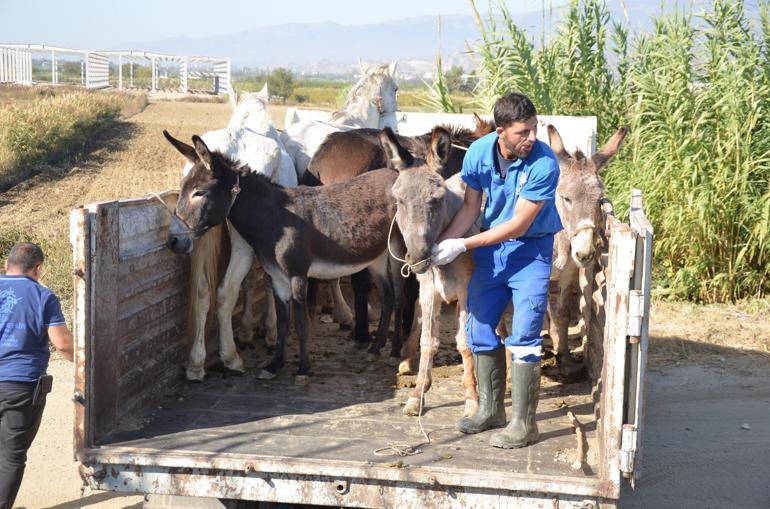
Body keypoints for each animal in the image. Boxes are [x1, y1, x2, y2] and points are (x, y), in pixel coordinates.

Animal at [168, 83, 296, 380]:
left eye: (198, 192)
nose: (174, 240)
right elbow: (266, 281)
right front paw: (267, 331)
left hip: (201, 235)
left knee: (203, 289)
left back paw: (196, 363)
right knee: (227, 290)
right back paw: (230, 356)